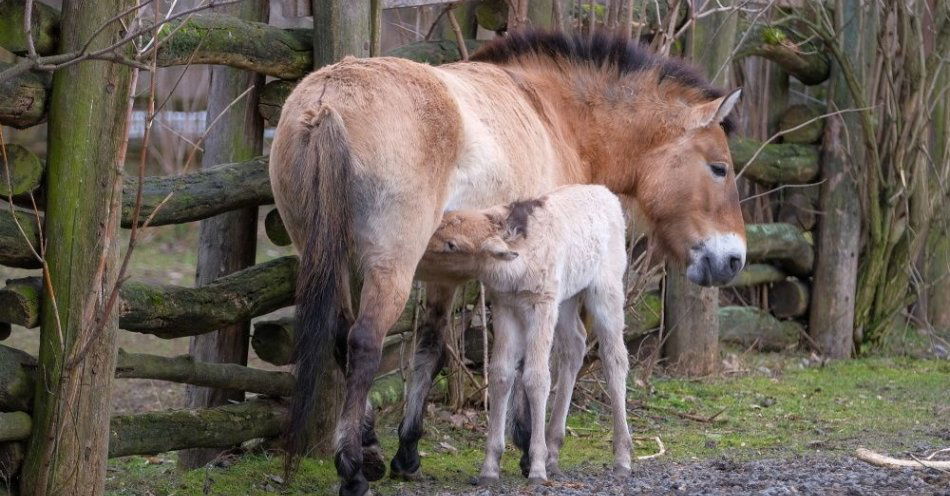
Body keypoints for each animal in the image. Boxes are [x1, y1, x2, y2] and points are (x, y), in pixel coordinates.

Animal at [422, 184, 632, 482]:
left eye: (452, 245)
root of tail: (610, 196)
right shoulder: (504, 306)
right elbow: (500, 374)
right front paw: (490, 465)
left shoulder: (541, 304)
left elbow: (536, 377)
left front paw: (536, 467)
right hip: (566, 298)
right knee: (574, 346)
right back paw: (554, 450)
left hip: (606, 289)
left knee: (615, 357)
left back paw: (622, 457)